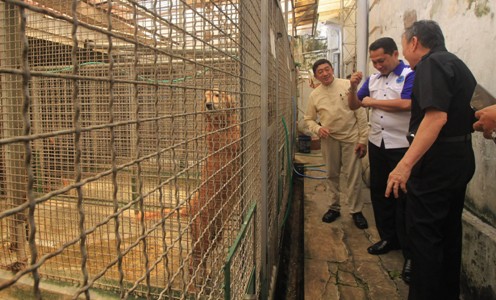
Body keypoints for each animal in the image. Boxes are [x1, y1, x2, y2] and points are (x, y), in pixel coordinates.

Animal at [139, 89, 241, 278]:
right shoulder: (231, 142)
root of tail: (191, 206)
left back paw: (206, 273)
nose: (208, 105)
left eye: (216, 95)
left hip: (216, 235)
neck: (220, 124)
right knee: (194, 261)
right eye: (204, 98)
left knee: (201, 258)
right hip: (203, 235)